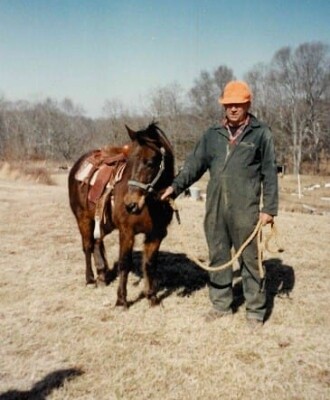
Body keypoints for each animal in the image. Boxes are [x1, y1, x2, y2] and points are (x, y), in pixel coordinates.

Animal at [69, 123, 175, 308]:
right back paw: (90, 279)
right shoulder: (126, 232)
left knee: (97, 243)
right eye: (129, 162)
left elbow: (150, 264)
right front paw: (121, 300)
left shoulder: (156, 234)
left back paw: (102, 275)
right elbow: (125, 263)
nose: (130, 204)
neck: (151, 204)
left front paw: (152, 296)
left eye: (151, 162)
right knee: (88, 246)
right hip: (83, 219)